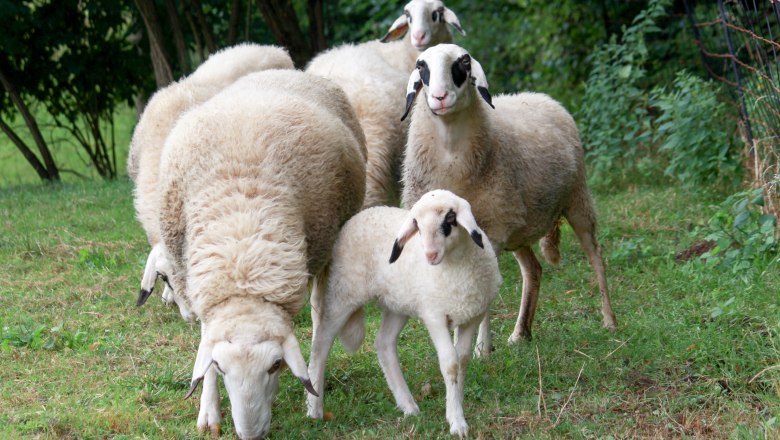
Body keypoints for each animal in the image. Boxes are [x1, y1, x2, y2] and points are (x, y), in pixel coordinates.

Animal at [155, 69, 366, 439]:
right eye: (221, 367)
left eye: (275, 366)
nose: (251, 434)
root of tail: (284, 71)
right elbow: (205, 341)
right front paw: (208, 412)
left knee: (319, 318)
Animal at [306, 189, 501, 437]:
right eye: (417, 225)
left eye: (449, 219)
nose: (430, 255)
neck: (456, 268)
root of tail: (362, 215)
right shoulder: (434, 315)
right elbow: (450, 363)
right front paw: (457, 421)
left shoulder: (471, 316)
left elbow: (463, 361)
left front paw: (455, 405)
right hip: (343, 293)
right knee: (321, 344)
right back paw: (314, 409)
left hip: (398, 303)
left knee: (384, 343)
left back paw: (408, 405)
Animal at [400, 44, 617, 352]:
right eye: (421, 66)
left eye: (463, 62)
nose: (440, 97)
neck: (451, 152)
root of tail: (540, 96)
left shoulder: (490, 231)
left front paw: (480, 349)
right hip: (518, 226)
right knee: (533, 270)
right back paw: (521, 332)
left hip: (577, 199)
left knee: (596, 257)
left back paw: (609, 320)